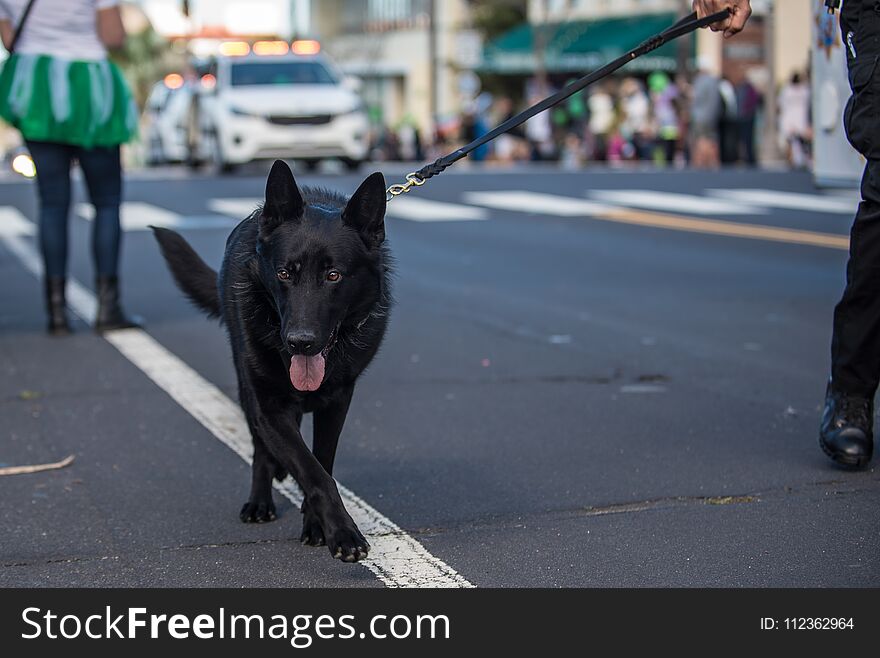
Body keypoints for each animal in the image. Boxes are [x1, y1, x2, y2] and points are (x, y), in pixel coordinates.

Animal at [154, 159, 392, 560]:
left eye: (333, 275)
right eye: (284, 273)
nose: (300, 343)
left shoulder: (337, 402)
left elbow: (322, 462)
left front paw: (316, 524)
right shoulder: (268, 407)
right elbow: (312, 472)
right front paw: (341, 532)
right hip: (247, 391)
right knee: (261, 450)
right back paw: (260, 501)